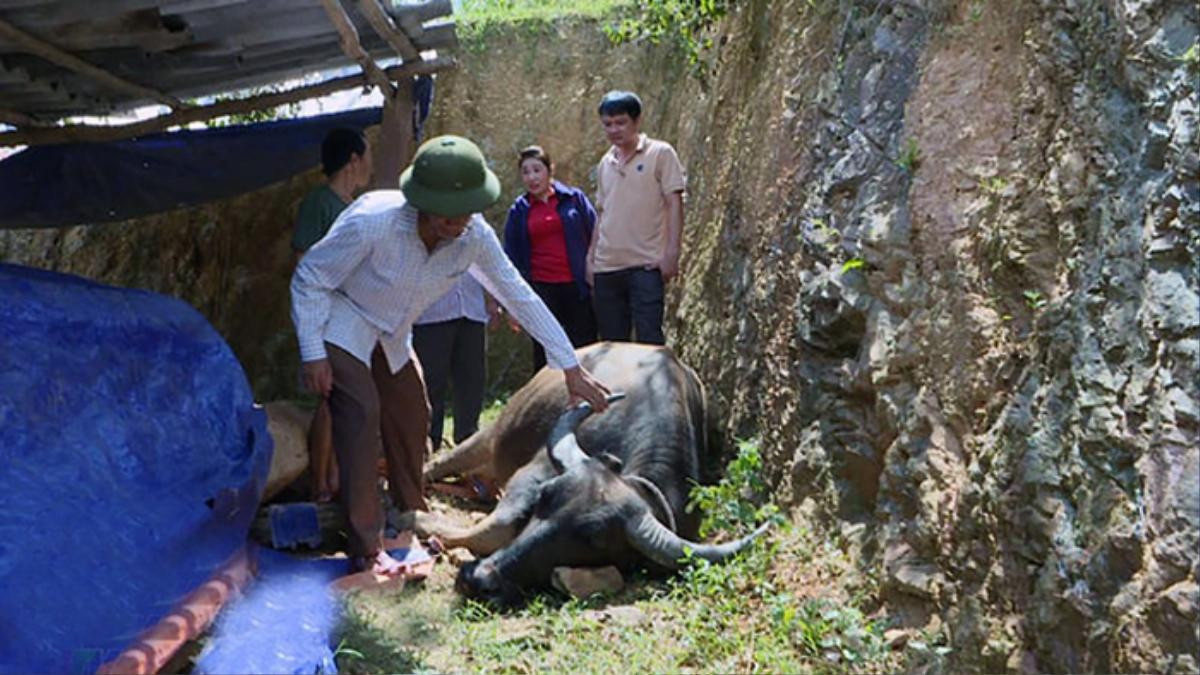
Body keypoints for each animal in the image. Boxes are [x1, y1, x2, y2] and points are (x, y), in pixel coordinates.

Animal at [400, 341, 758, 605]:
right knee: (440, 464)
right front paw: (413, 519)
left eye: (595, 539)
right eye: (545, 496)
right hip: (494, 434)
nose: (479, 579)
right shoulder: (533, 471)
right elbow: (498, 526)